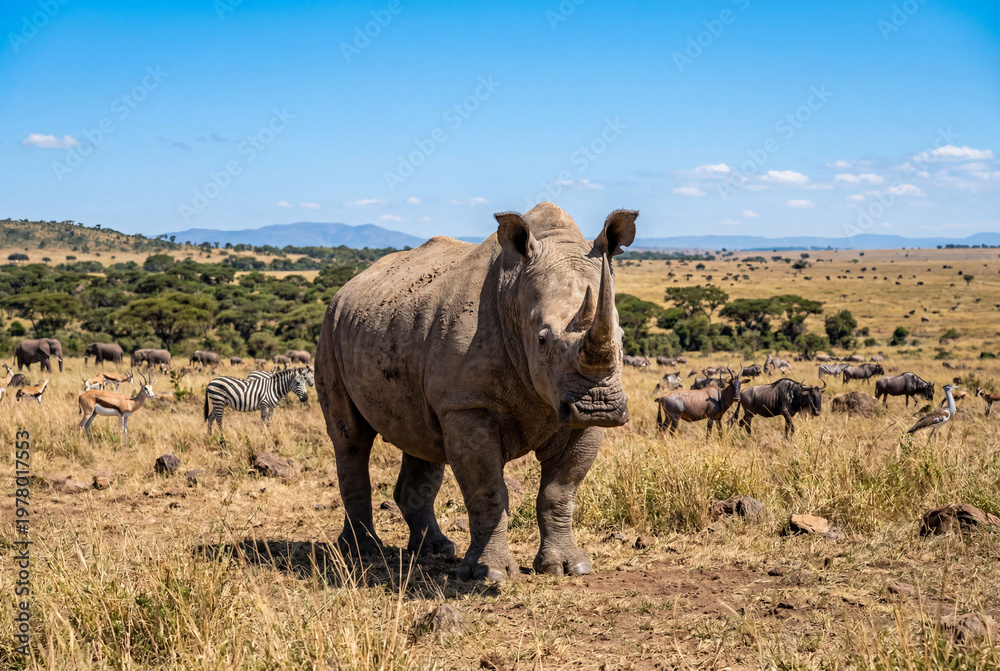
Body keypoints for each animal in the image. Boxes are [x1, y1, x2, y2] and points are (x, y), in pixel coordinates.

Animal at [316, 203, 636, 581]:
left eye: (622, 337)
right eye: (542, 340)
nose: (599, 406)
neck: (515, 291)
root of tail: (348, 285)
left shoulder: (574, 416)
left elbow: (560, 492)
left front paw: (569, 567)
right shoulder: (467, 405)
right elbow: (488, 491)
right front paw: (491, 574)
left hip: (392, 324)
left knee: (421, 440)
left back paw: (435, 550)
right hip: (330, 327)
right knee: (351, 440)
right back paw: (362, 551)